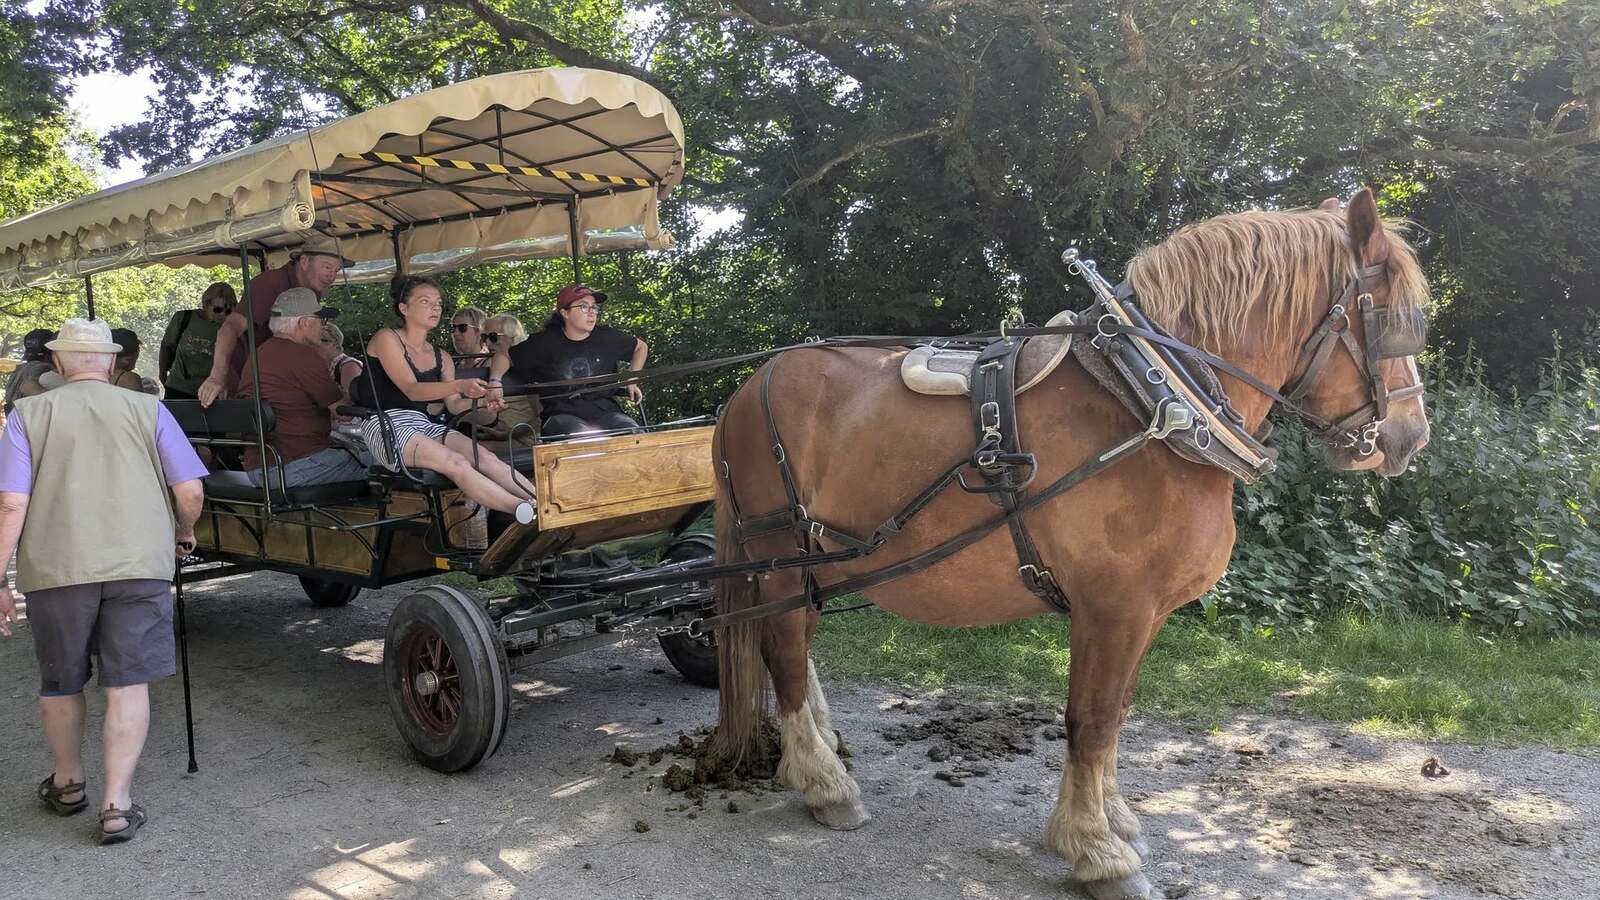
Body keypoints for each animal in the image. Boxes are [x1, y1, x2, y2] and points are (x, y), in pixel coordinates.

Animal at [707, 188, 1431, 899]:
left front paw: (1112, 823)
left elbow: (1116, 716)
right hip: (778, 554)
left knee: (800, 647)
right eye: (1392, 319)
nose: (1410, 437)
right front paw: (1097, 851)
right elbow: (1092, 718)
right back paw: (824, 783)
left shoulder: (1146, 613)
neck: (1153, 401)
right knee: (784, 652)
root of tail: (746, 389)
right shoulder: (1112, 607)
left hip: (817, 561)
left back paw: (813, 756)